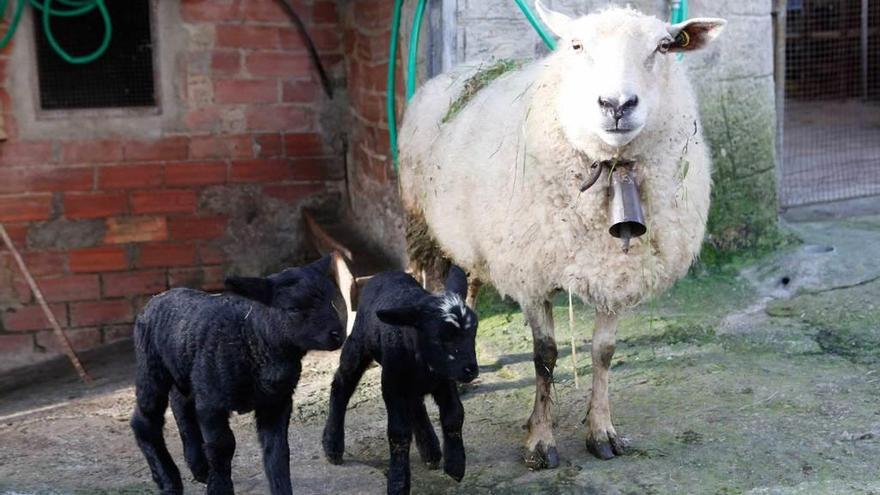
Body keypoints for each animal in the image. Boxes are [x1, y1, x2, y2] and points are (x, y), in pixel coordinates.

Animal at [131, 256, 344, 495]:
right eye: (294, 309)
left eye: (331, 301)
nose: (337, 334)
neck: (253, 337)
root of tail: (157, 298)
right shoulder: (211, 403)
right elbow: (223, 446)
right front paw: (219, 488)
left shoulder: (276, 402)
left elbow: (277, 450)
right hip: (151, 366)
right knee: (145, 421)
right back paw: (168, 480)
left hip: (186, 370)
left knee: (180, 404)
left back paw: (199, 466)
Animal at [322, 268, 478, 495]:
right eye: (439, 337)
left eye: (473, 332)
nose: (470, 370)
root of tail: (383, 273)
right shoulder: (392, 384)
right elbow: (398, 434)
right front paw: (398, 482)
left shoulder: (445, 379)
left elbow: (454, 416)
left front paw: (456, 465)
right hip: (357, 344)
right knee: (341, 385)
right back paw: (332, 445)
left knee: (415, 404)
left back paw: (430, 450)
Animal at [396, 2, 724, 468]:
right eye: (576, 45)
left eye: (664, 46)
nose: (616, 104)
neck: (611, 168)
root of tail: (460, 70)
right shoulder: (532, 273)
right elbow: (545, 355)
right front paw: (540, 441)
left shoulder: (615, 273)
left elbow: (603, 352)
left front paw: (601, 431)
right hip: (419, 222)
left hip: (476, 237)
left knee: (471, 282)